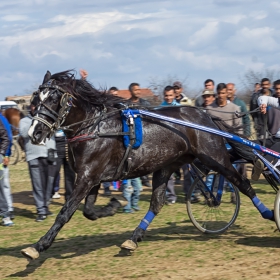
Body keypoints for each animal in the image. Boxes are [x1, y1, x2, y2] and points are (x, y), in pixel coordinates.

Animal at [21, 71, 274, 260]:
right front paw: (113, 205)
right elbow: (89, 211)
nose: (35, 133)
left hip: (214, 157)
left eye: (53, 99)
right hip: (167, 165)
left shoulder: (87, 177)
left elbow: (65, 212)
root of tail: (205, 116)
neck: (95, 128)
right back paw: (133, 239)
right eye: (36, 99)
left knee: (242, 183)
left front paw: (38, 245)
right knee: (157, 203)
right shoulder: (92, 178)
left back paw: (269, 212)